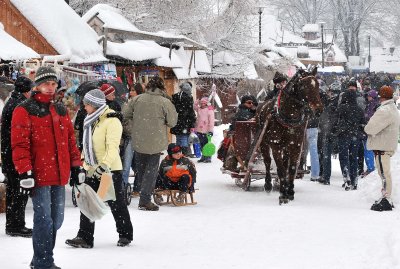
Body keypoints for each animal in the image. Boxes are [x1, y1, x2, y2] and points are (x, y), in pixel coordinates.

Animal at [256, 67, 322, 203]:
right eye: (303, 85)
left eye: (317, 85)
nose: (319, 109)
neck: (289, 115)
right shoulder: (276, 146)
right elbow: (280, 169)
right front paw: (282, 194)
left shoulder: (296, 145)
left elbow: (291, 168)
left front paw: (290, 191)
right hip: (263, 143)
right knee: (267, 162)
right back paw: (268, 185)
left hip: (286, 147)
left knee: (285, 163)